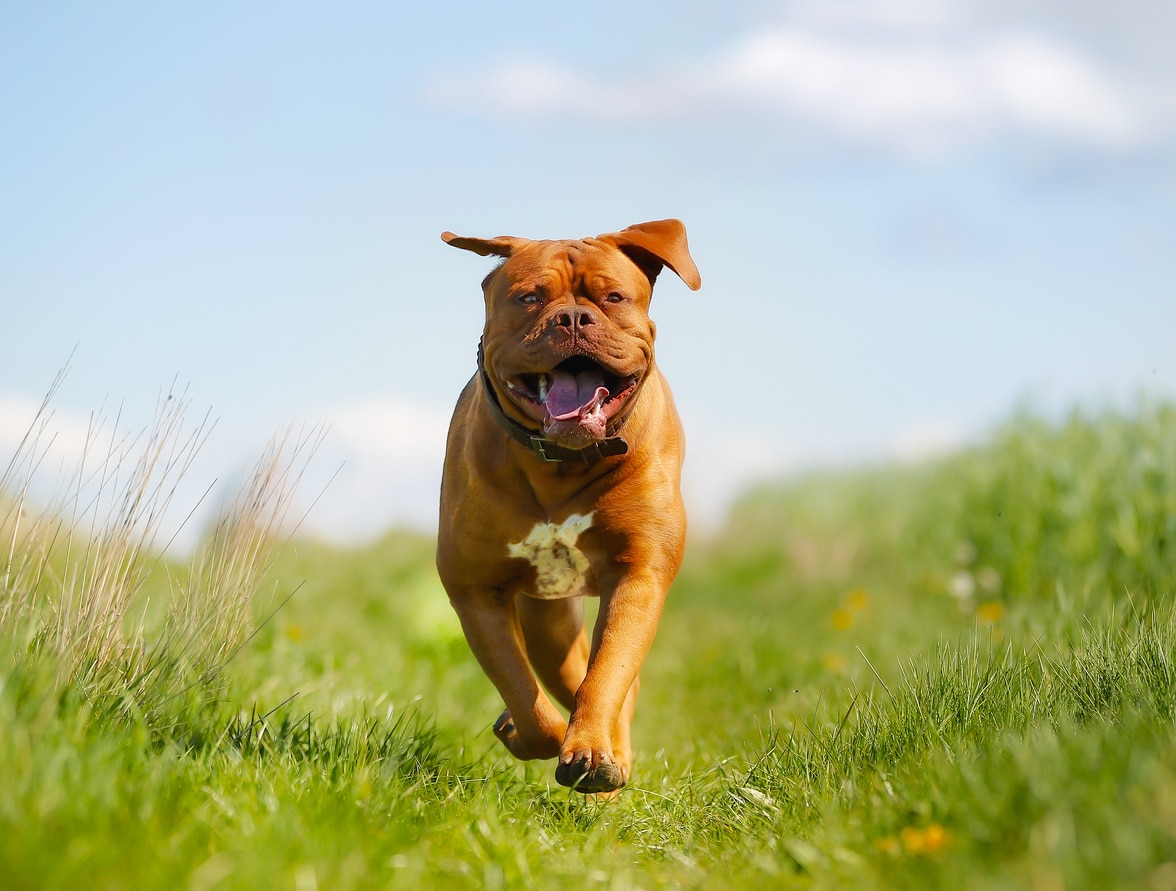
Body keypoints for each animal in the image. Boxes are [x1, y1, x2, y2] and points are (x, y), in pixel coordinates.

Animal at [439, 218, 696, 794]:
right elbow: (521, 691)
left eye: (613, 297)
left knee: (611, 682)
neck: (562, 460)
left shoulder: (638, 574)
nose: (574, 317)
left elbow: (608, 673)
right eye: (529, 297)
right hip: (547, 623)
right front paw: (539, 735)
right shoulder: (475, 589)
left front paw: (594, 750)